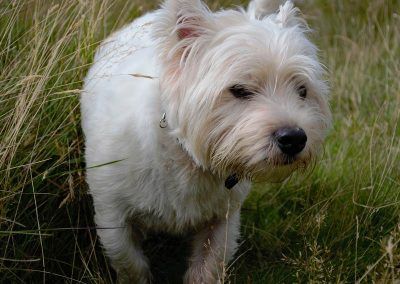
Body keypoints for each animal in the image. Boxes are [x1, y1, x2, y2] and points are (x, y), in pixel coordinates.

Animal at [80, 0, 332, 282]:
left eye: (302, 90)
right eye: (239, 90)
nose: (294, 139)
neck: (186, 157)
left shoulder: (222, 219)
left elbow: (207, 267)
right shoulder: (112, 213)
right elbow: (129, 261)